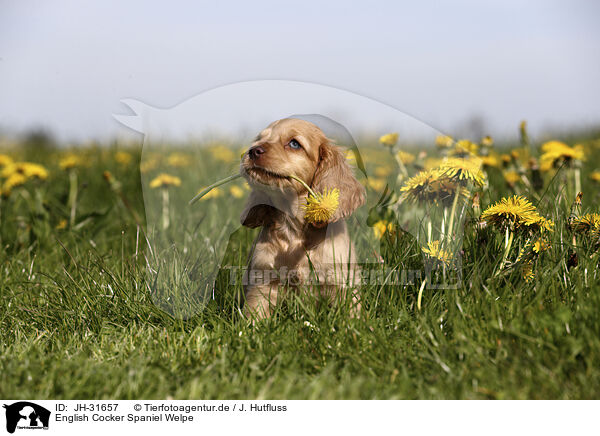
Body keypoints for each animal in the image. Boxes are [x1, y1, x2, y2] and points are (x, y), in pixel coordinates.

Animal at [239, 117, 366, 318]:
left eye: (294, 144)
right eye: (259, 139)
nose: (253, 150)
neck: (294, 227)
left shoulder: (341, 283)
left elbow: (351, 315)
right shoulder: (263, 281)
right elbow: (255, 315)